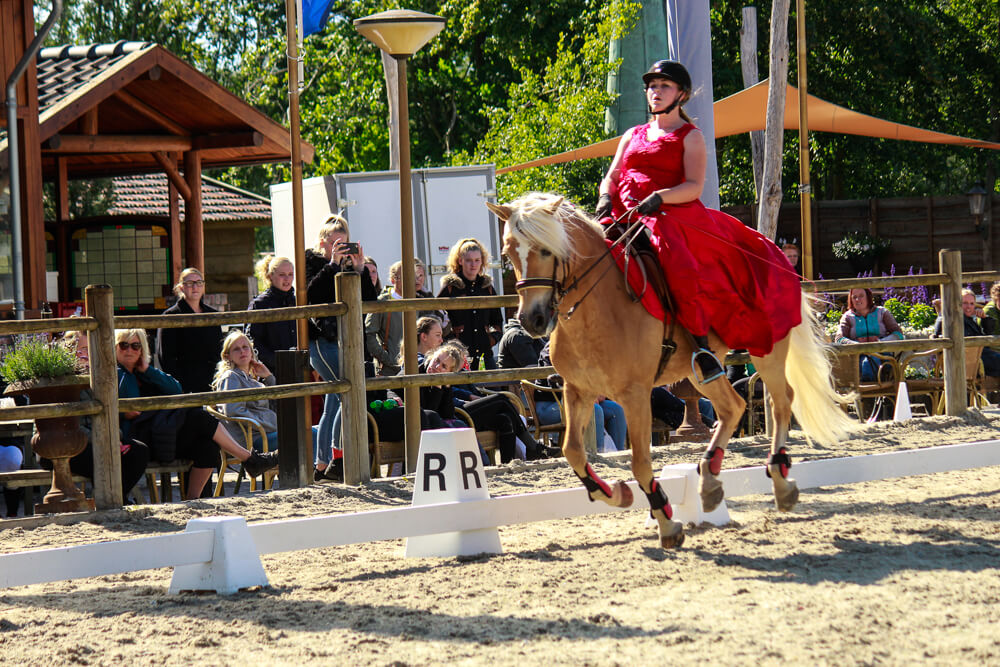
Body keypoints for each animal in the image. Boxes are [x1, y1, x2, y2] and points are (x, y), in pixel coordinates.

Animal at [487, 193, 855, 549]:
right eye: (508, 254)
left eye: (546, 250)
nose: (532, 320)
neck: (597, 308)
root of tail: (772, 249)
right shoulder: (578, 390)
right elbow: (572, 452)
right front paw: (615, 493)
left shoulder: (635, 394)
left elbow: (639, 462)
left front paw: (666, 522)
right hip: (699, 373)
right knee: (733, 407)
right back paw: (709, 480)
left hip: (766, 346)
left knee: (780, 402)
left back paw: (780, 482)